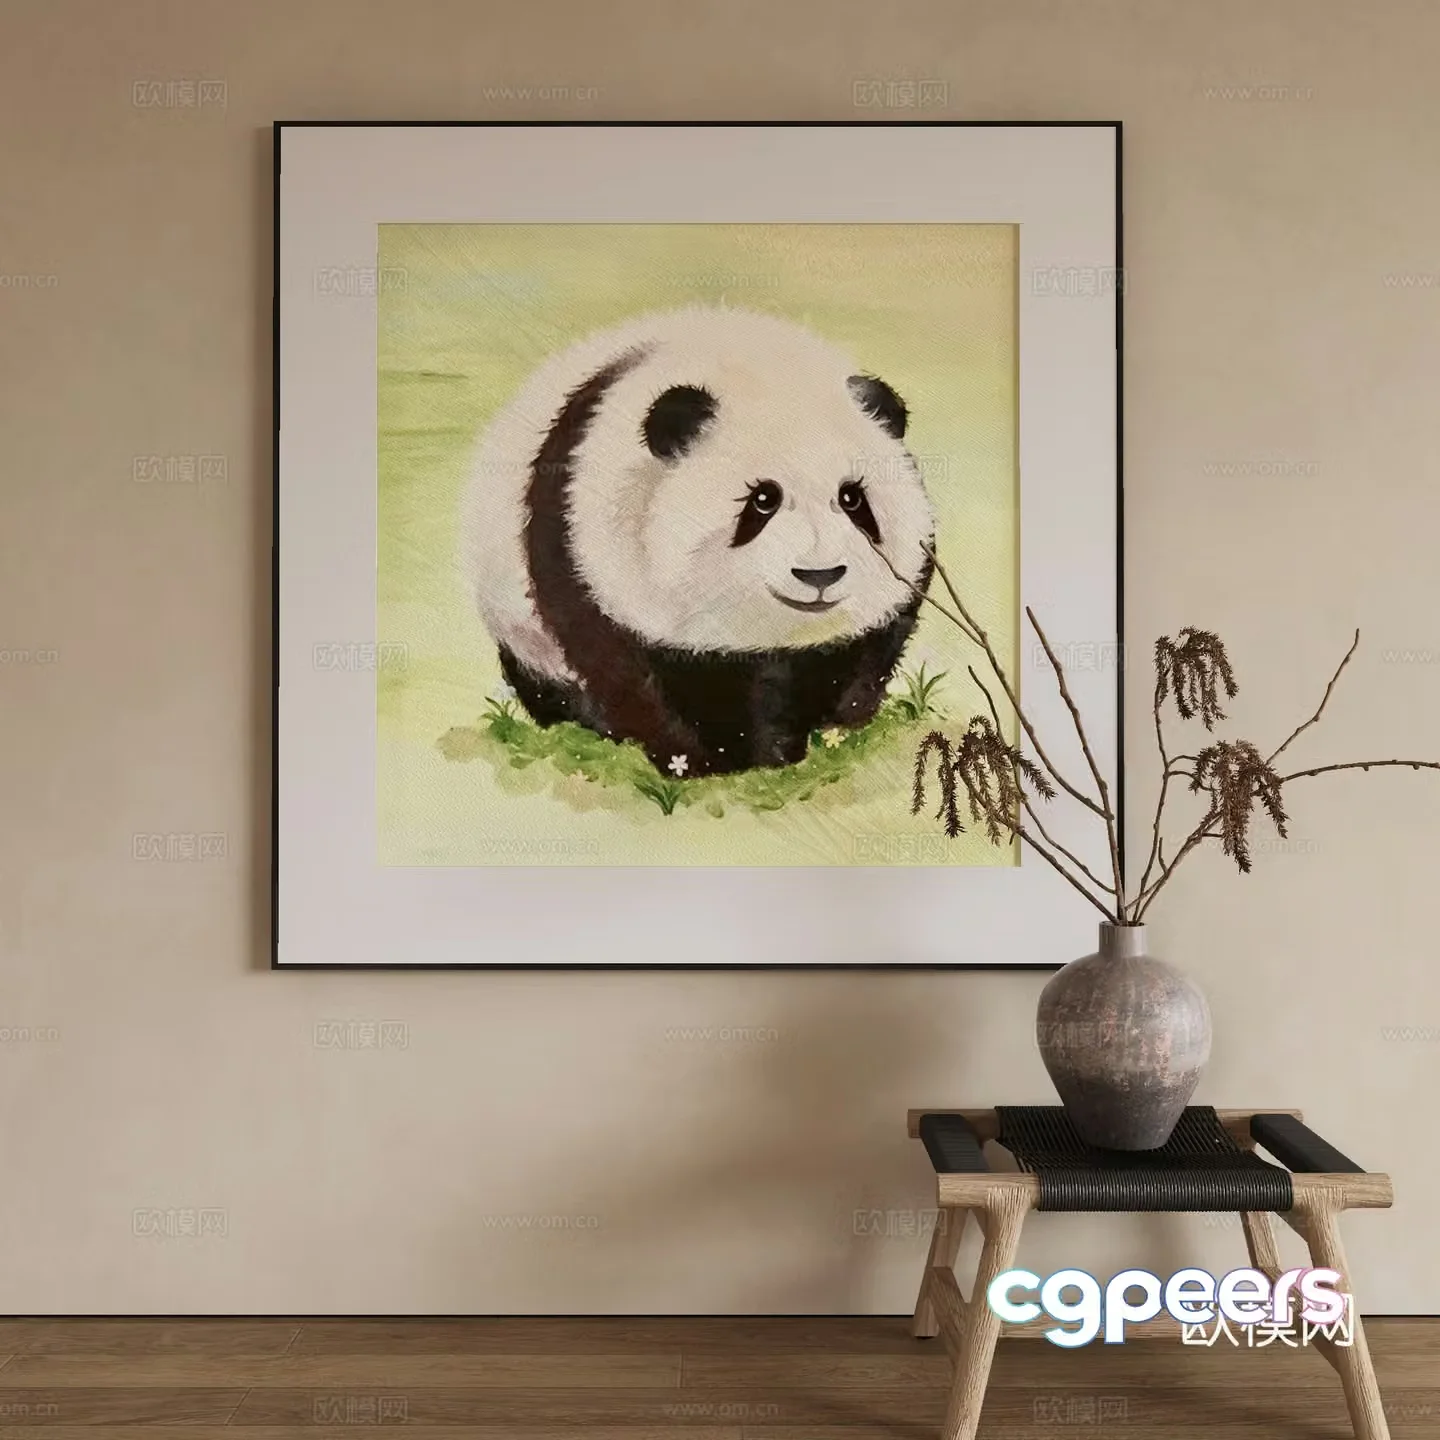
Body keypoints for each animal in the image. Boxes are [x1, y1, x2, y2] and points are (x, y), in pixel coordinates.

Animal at [460, 305, 937, 778]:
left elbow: (862, 660)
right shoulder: (588, 557)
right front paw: (702, 761)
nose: (819, 574)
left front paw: (829, 735)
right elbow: (629, 675)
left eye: (853, 498)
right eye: (763, 499)